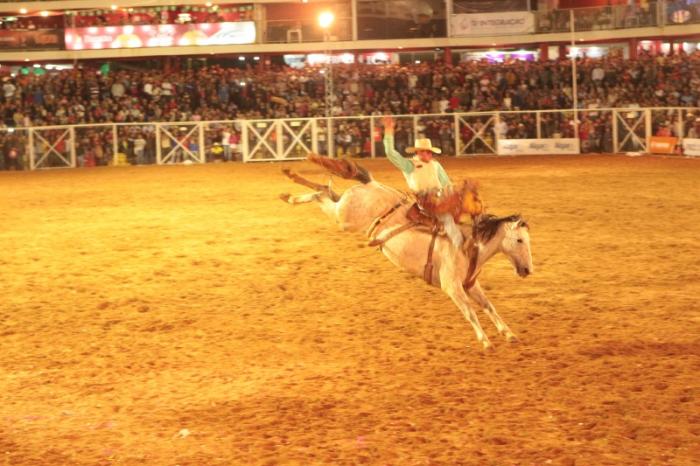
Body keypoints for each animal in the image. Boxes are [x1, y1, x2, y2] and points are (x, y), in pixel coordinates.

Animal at [278, 155, 532, 352]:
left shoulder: (470, 284)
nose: (528, 269)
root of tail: (372, 184)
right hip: (344, 218)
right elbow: (470, 312)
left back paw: (290, 184)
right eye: (519, 240)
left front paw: (508, 333)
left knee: (326, 190)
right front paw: (486, 342)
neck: (469, 246)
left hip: (343, 209)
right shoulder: (452, 287)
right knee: (321, 194)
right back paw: (290, 193)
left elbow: (489, 306)